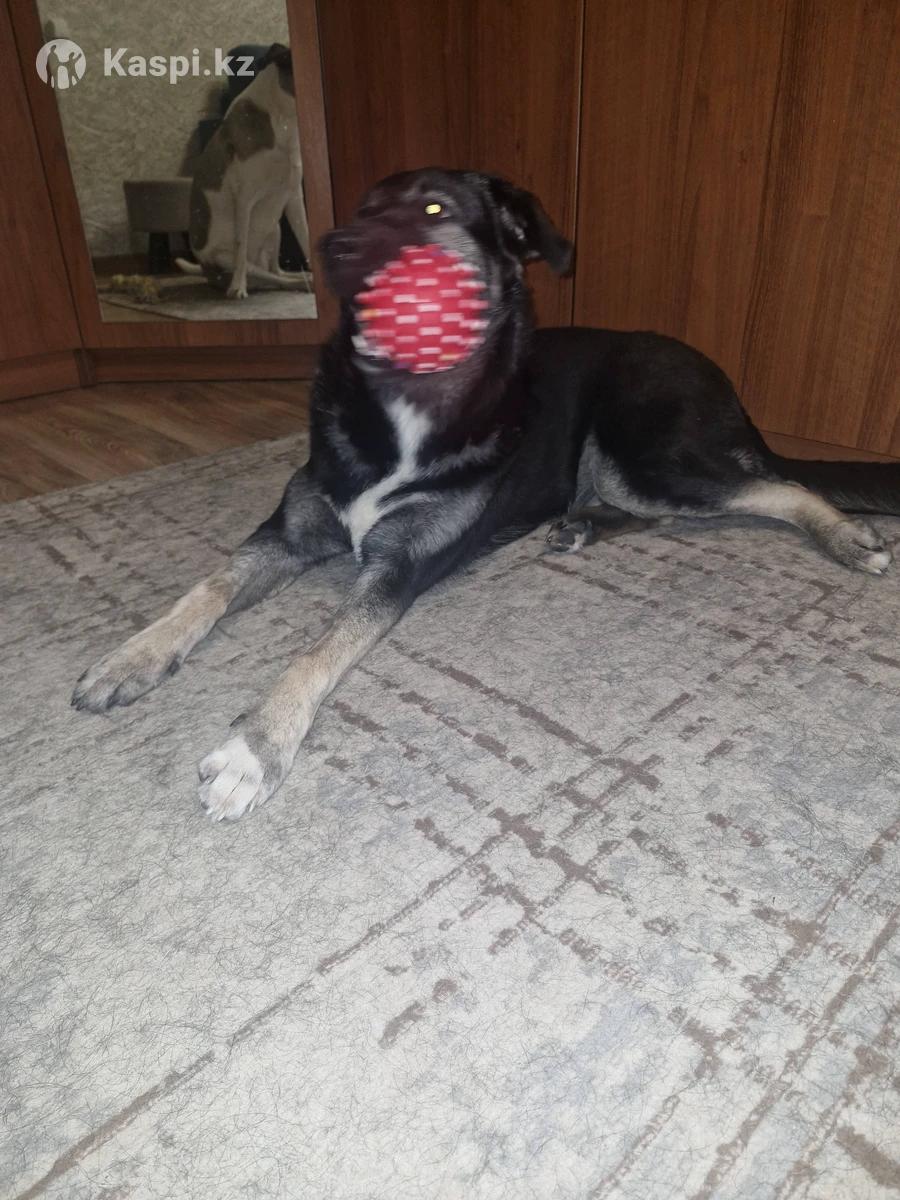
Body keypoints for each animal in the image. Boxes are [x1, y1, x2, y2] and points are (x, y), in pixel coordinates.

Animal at [73, 167, 900, 820]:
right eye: (367, 206)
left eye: (434, 209)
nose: (333, 248)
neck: (404, 400)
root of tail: (721, 380)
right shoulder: (289, 530)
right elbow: (208, 587)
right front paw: (129, 659)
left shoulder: (396, 569)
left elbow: (315, 650)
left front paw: (253, 751)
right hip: (627, 470)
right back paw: (583, 524)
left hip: (650, 451)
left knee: (780, 483)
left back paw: (847, 537)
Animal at [175, 43, 310, 299]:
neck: (282, 120)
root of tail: (206, 272)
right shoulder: (245, 197)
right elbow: (241, 243)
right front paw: (238, 287)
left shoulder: (293, 197)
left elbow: (305, 235)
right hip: (228, 258)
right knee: (269, 275)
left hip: (275, 229)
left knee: (279, 273)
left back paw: (303, 276)